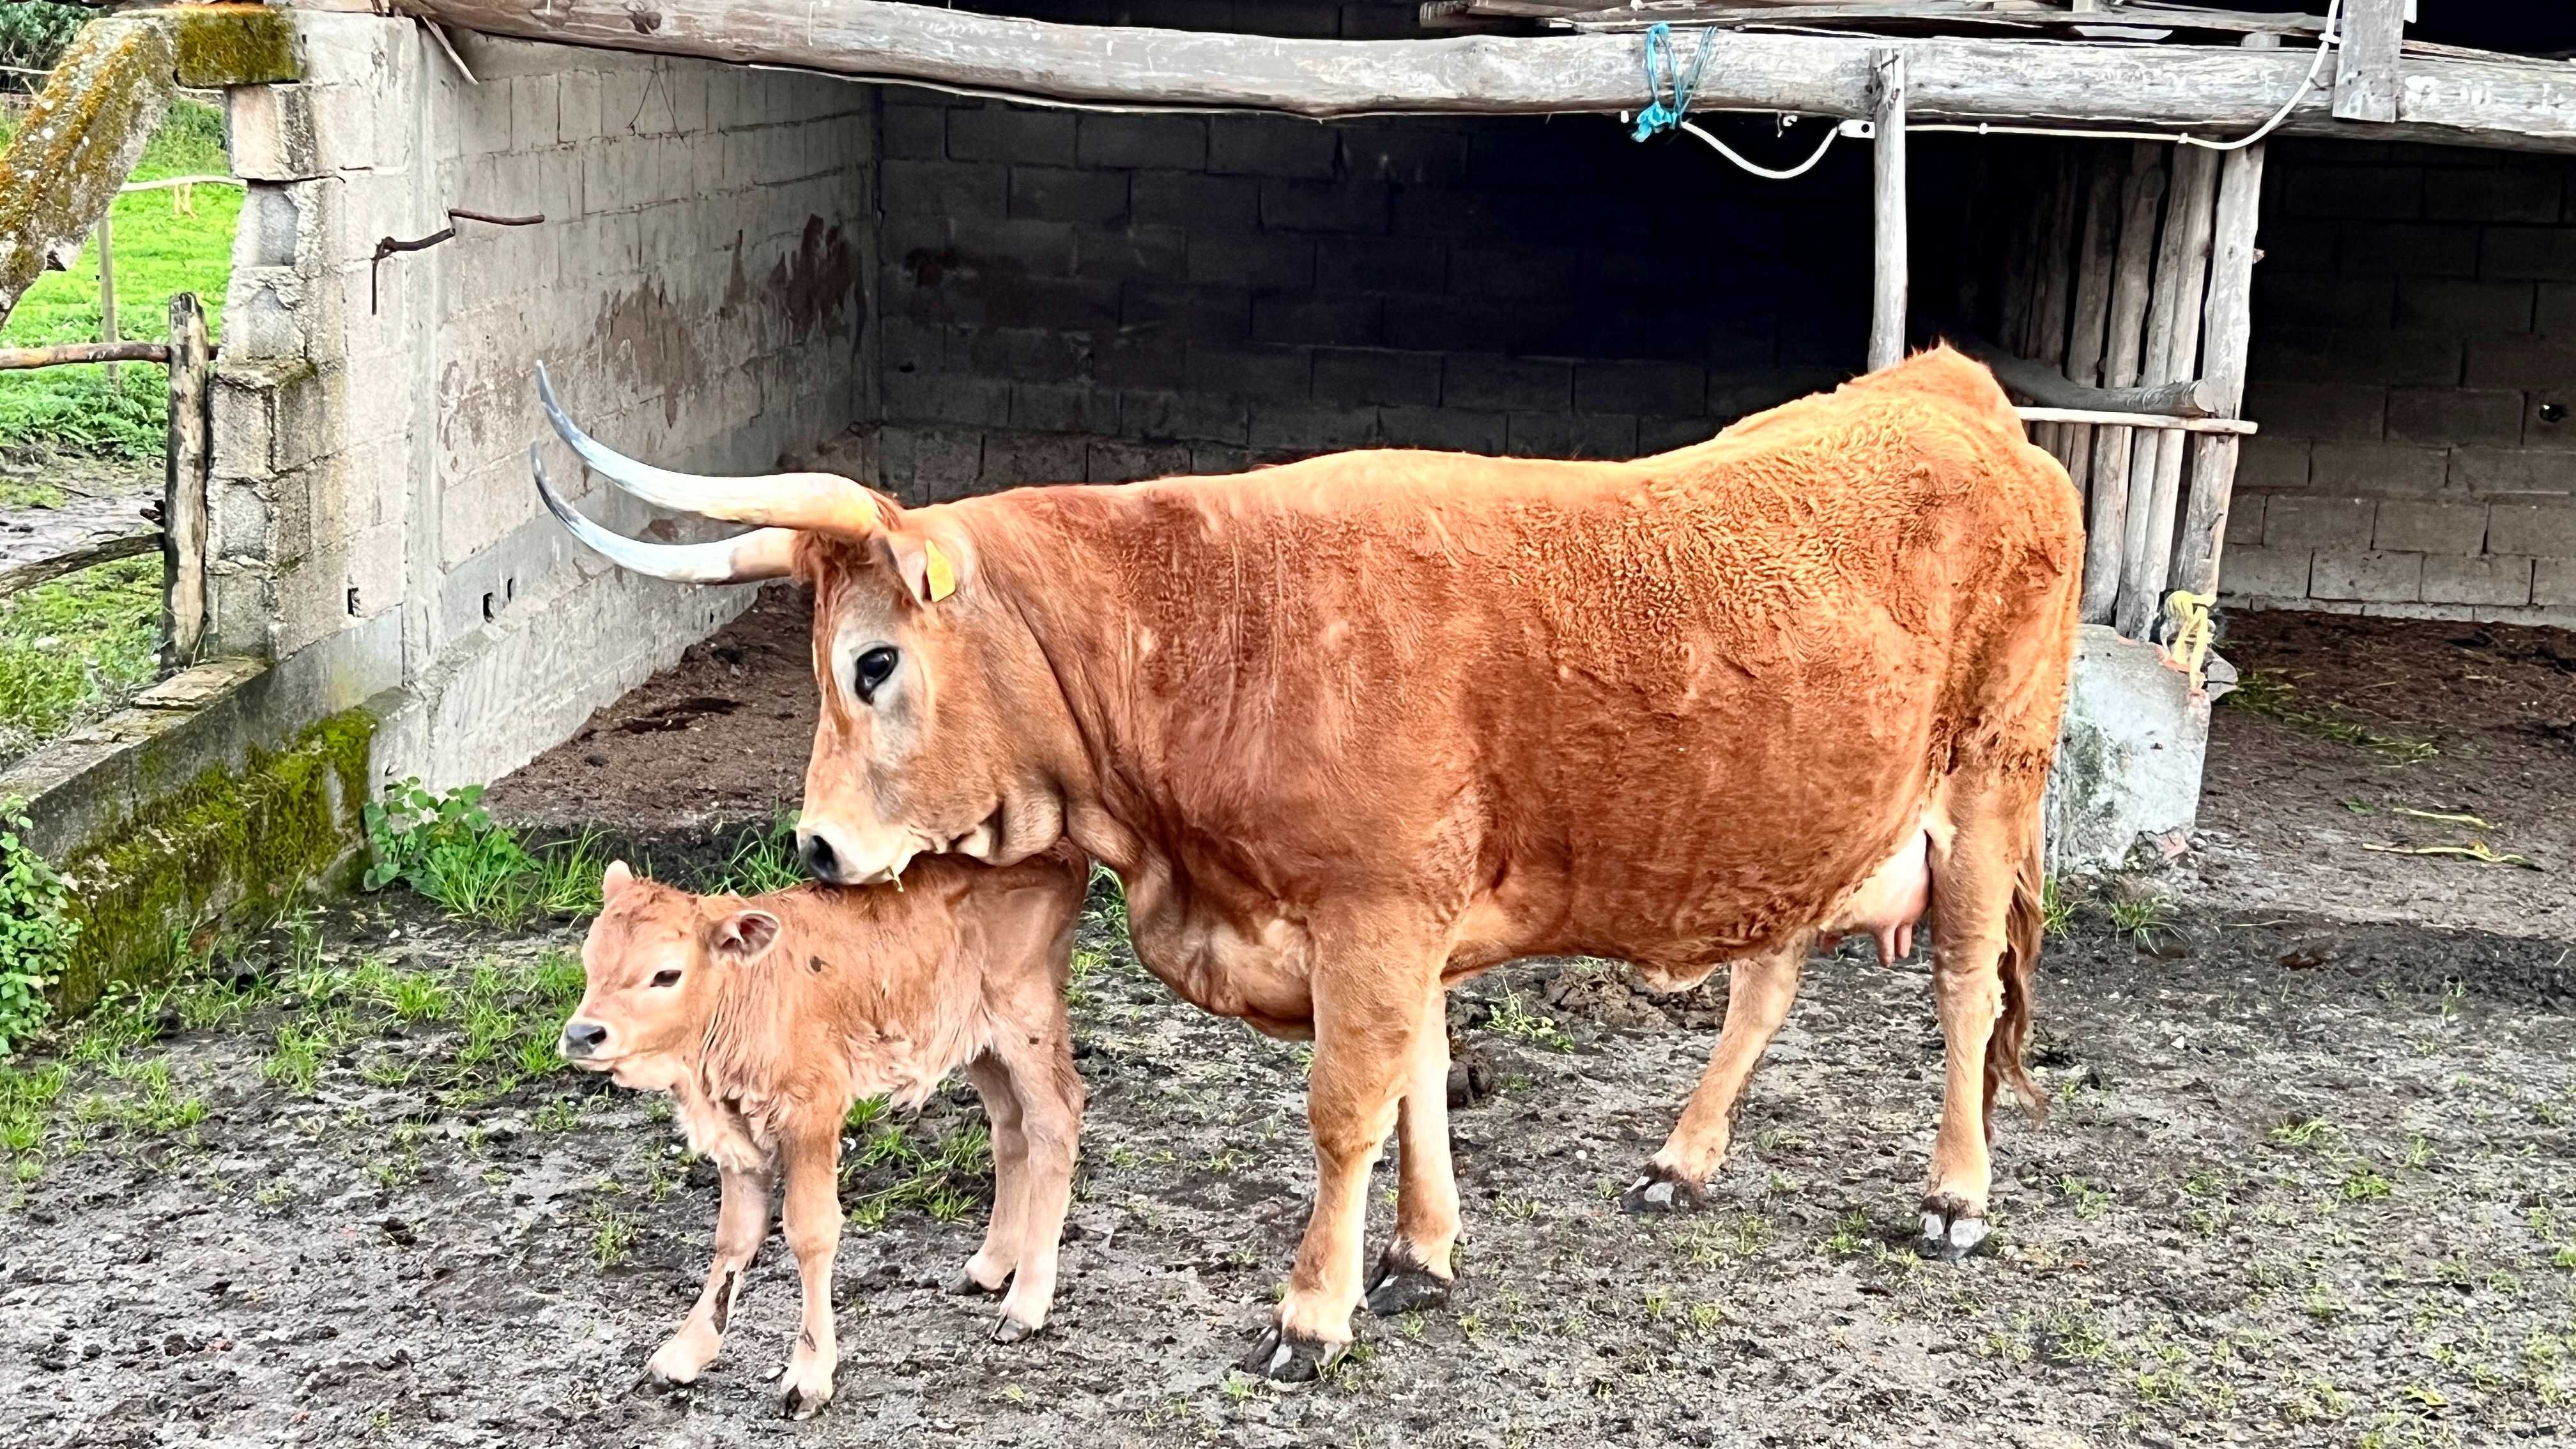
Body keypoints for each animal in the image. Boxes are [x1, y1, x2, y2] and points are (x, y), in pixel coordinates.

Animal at [558, 845, 1082, 1413]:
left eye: (666, 974)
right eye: (589, 960)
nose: (582, 1035)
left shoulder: (811, 1115)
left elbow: (810, 1232)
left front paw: (808, 1376)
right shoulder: (738, 1133)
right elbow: (734, 1239)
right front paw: (681, 1356)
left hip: (1025, 1024)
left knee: (1053, 1122)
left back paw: (1025, 1305)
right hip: (977, 1041)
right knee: (1011, 1130)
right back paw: (988, 1266)